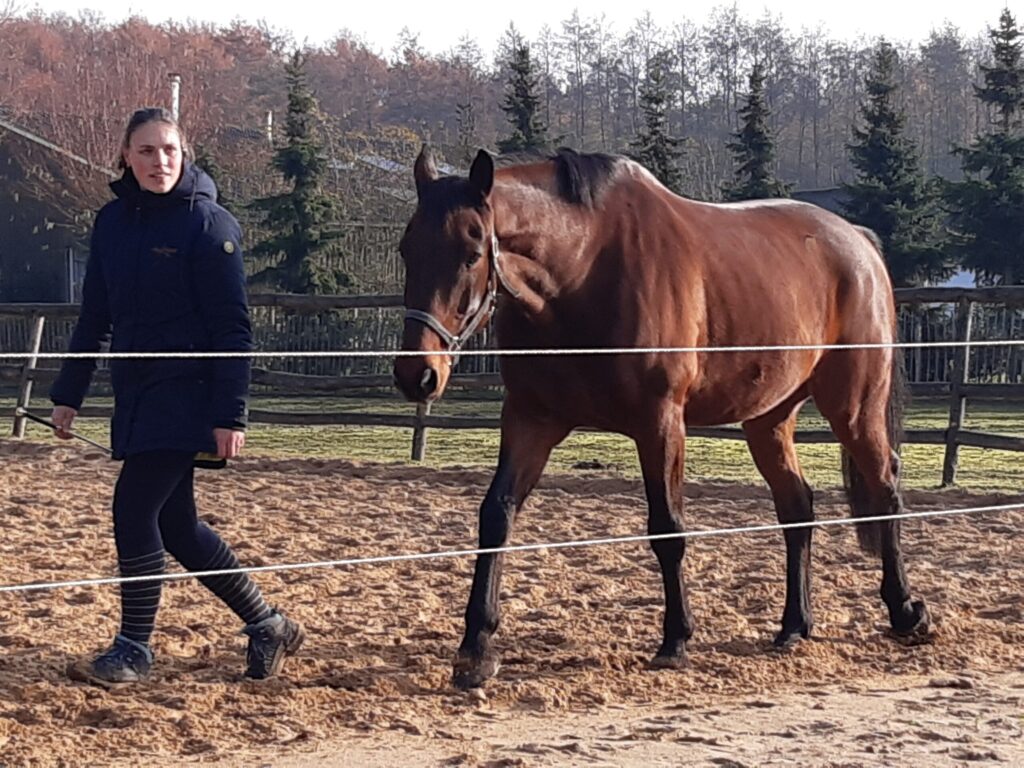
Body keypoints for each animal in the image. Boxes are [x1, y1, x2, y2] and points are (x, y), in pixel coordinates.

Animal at [393, 147, 937, 688]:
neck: (585, 270)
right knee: (797, 506)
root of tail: (859, 243)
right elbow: (496, 516)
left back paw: (907, 612)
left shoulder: (659, 423)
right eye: (406, 250)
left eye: (472, 254)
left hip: (853, 407)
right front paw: (475, 649)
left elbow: (667, 528)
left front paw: (676, 639)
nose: (417, 375)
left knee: (884, 487)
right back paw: (794, 626)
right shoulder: (531, 420)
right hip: (769, 419)